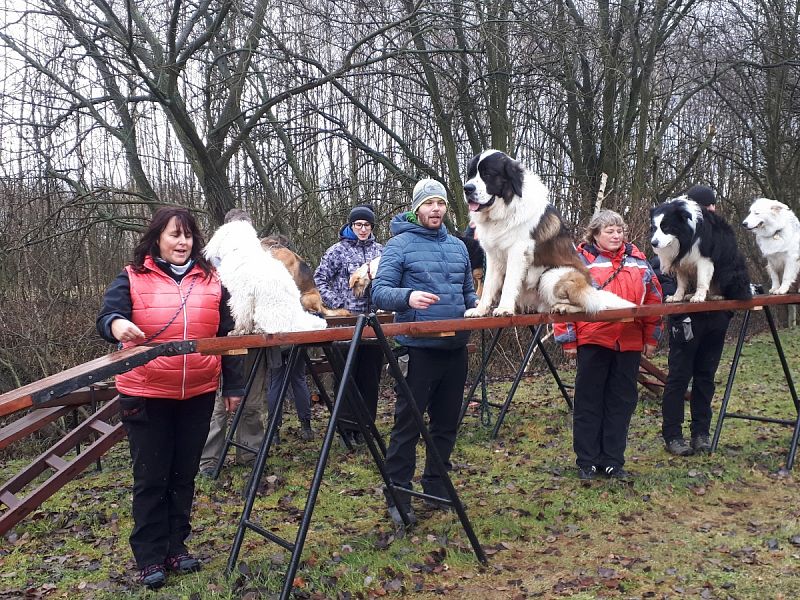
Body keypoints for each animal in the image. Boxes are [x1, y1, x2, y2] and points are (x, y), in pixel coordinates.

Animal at [460, 150, 636, 316]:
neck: (504, 210)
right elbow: (488, 285)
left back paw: (563, 307)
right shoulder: (493, 255)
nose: (467, 189)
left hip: (552, 275)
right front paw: (480, 311)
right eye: (471, 174)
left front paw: (504, 309)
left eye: (487, 174)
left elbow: (509, 282)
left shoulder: (517, 251)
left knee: (590, 305)